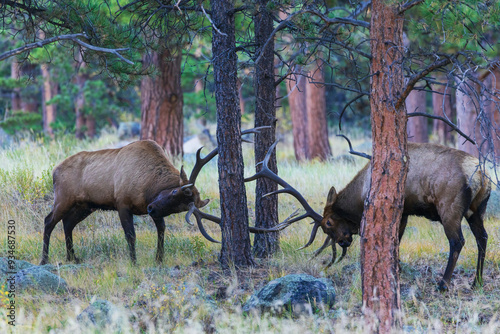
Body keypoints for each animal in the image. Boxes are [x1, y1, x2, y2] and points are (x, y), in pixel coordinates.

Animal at [40, 126, 266, 264]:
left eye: (180, 209)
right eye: (175, 191)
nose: (150, 208)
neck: (147, 188)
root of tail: (54, 171)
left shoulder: (156, 211)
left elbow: (162, 230)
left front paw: (159, 258)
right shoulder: (122, 203)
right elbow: (130, 235)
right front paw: (134, 262)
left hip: (86, 205)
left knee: (68, 223)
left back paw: (72, 257)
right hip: (64, 198)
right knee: (49, 220)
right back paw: (44, 259)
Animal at [244, 140, 490, 290]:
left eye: (328, 222)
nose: (343, 242)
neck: (361, 192)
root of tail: (480, 174)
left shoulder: (397, 209)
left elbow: (393, 241)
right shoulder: (404, 212)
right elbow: (396, 241)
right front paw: (396, 269)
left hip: (449, 207)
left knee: (457, 241)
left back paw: (443, 284)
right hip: (477, 210)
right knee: (483, 237)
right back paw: (477, 280)